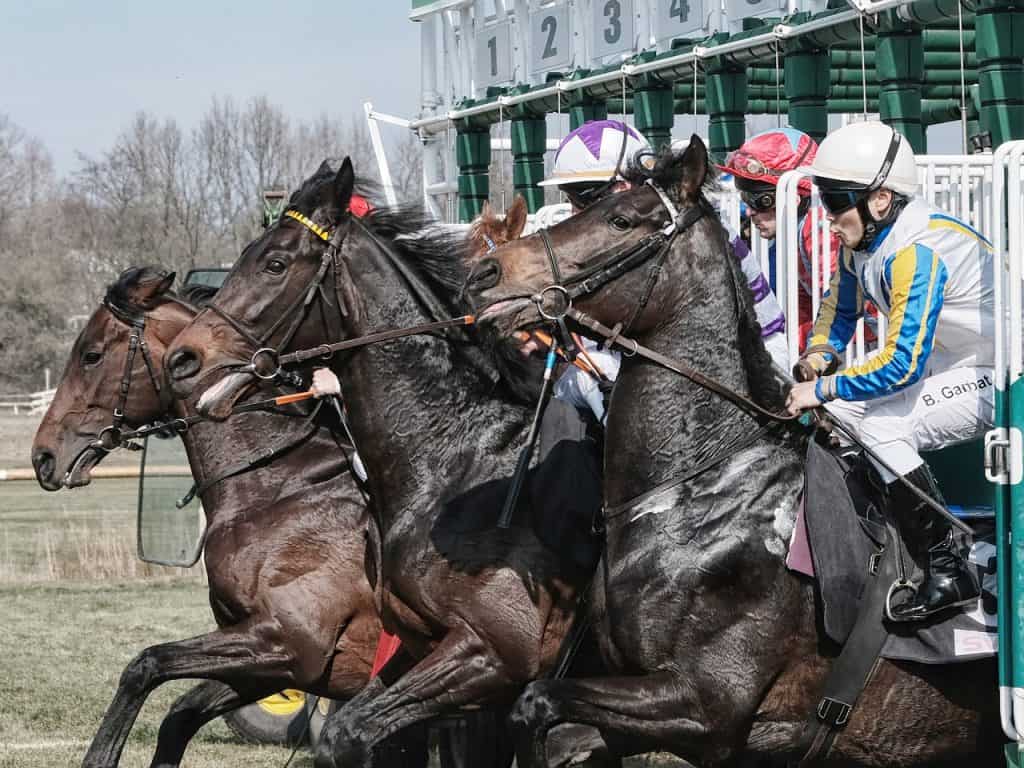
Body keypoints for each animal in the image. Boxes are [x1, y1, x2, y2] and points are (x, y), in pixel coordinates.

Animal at [29, 266, 428, 768]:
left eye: (91, 354)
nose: (43, 457)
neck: (278, 486)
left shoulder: (288, 644)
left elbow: (145, 665)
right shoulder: (268, 664)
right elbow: (177, 714)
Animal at [464, 137, 999, 765]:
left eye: (620, 219)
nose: (485, 272)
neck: (696, 490)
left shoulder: (706, 707)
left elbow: (536, 701)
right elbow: (552, 726)